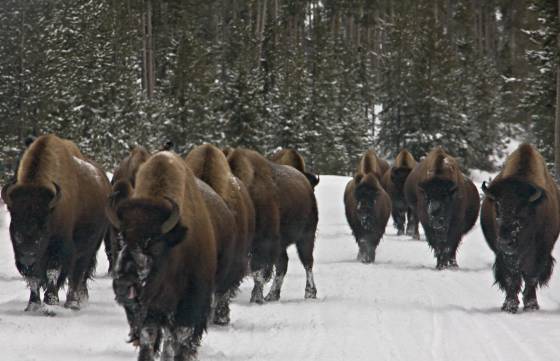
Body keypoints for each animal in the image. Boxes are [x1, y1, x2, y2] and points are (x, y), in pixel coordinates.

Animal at [1, 134, 110, 310]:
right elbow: (34, 278)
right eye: (15, 227)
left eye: (44, 227)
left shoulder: (59, 249)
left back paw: (74, 302)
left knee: (78, 273)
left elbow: (54, 272)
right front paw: (33, 304)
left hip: (89, 247)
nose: (27, 259)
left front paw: (51, 300)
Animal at [106, 151, 218, 360]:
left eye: (155, 243)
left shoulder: (189, 306)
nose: (124, 285)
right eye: (121, 238)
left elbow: (181, 340)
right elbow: (148, 339)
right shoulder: (150, 311)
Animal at [224, 148, 318, 302]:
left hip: (306, 237)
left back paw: (310, 293)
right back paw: (272, 295)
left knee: (307, 263)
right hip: (283, 245)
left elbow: (259, 273)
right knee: (283, 264)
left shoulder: (264, 244)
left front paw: (256, 298)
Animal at [476, 143, 560, 312]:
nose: (505, 242)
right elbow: (511, 277)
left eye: (522, 210)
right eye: (497, 207)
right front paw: (509, 306)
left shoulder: (540, 251)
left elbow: (531, 276)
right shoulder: (504, 255)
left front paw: (531, 305)